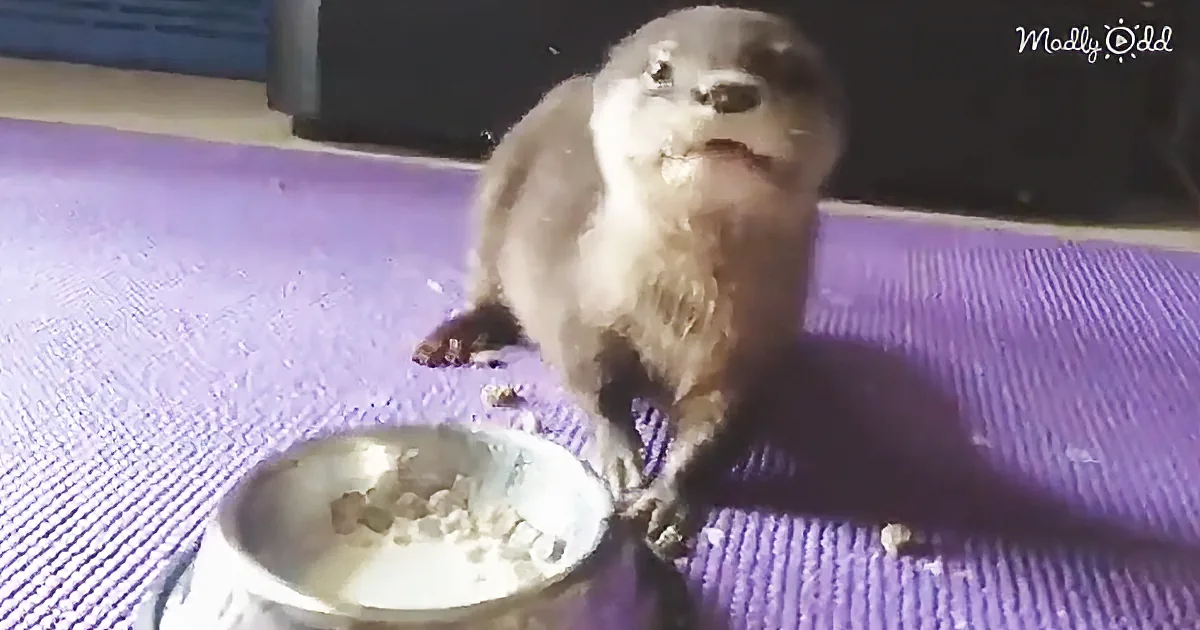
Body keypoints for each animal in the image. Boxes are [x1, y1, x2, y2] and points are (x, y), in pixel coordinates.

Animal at [413, 6, 844, 558]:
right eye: (660, 69)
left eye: (785, 69)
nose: (728, 92)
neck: (678, 307)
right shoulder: (578, 312)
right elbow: (594, 385)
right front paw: (619, 459)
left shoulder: (754, 351)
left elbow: (719, 429)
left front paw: (667, 500)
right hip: (494, 198)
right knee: (488, 292)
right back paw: (450, 338)